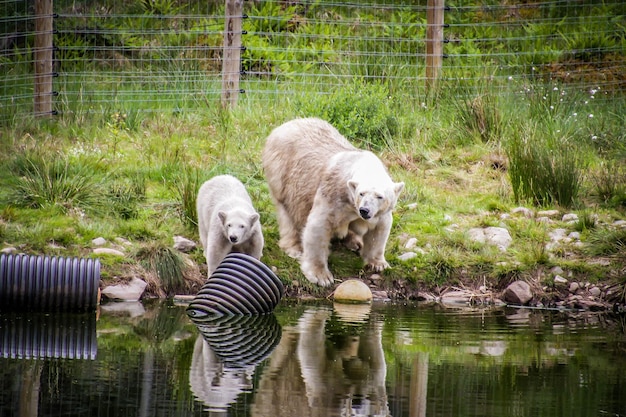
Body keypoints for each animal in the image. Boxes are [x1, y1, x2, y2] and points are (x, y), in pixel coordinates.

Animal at [260, 117, 402, 286]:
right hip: (282, 173)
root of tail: (284, 125)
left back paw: (354, 242)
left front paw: (378, 264)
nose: (364, 210)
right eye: (361, 193)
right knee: (287, 211)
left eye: (380, 196)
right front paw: (321, 276)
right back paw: (295, 248)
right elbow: (318, 226)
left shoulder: (379, 213)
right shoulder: (334, 195)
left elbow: (379, 230)